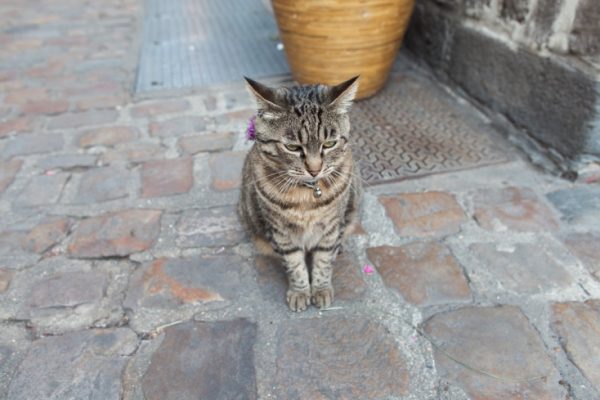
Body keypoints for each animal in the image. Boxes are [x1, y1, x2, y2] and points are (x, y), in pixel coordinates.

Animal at [238, 76, 360, 310]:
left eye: (329, 143)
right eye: (293, 147)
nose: (315, 169)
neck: (307, 195)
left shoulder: (331, 227)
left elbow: (323, 260)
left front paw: (320, 289)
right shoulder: (280, 231)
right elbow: (294, 263)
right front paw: (300, 292)